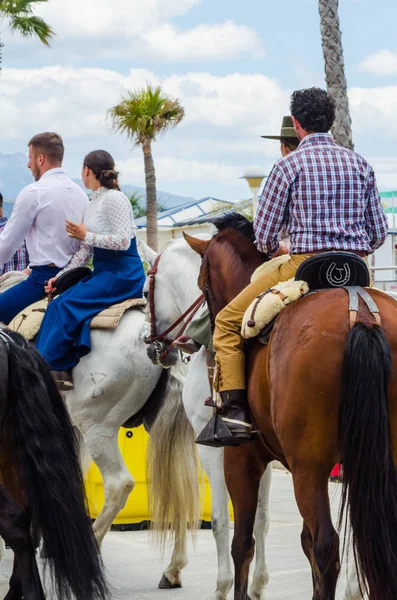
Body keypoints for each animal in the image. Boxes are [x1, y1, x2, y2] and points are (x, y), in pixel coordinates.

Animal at [185, 214, 397, 600]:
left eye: (203, 283)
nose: (200, 339)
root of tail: (360, 313)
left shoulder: (241, 460)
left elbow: (243, 544)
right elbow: (303, 541)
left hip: (308, 468)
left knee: (328, 546)